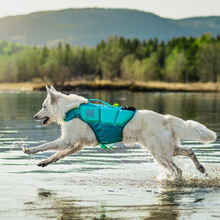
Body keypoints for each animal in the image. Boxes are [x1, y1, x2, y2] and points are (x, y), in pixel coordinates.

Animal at [23, 85, 216, 180]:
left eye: (43, 107)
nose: (34, 116)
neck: (70, 109)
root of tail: (166, 118)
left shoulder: (68, 140)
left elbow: (45, 145)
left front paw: (29, 150)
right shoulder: (76, 145)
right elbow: (57, 155)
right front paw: (44, 162)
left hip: (159, 153)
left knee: (178, 170)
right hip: (166, 150)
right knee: (189, 151)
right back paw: (200, 168)